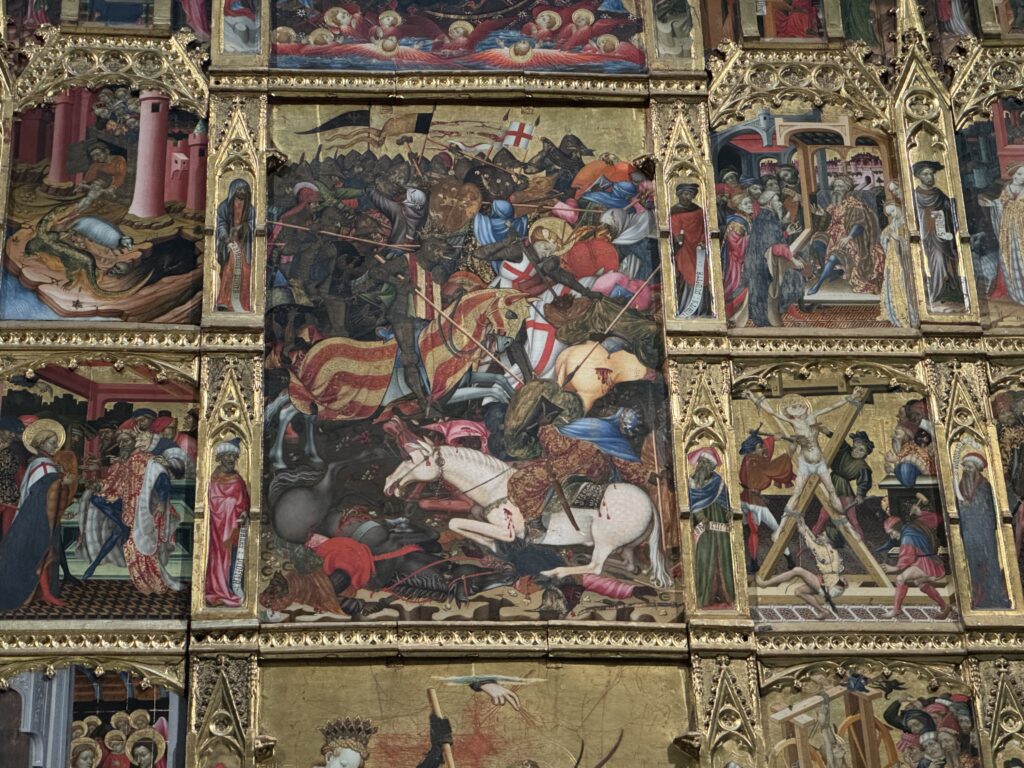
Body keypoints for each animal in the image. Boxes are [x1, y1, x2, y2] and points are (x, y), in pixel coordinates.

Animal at [383, 439, 672, 587]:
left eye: (410, 459)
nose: (388, 484)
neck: (498, 487)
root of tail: (649, 500)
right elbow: (463, 521)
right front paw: (490, 547)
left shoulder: (507, 530)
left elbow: (456, 522)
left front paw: (492, 546)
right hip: (624, 545)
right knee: (629, 564)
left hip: (605, 539)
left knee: (596, 567)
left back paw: (557, 572)